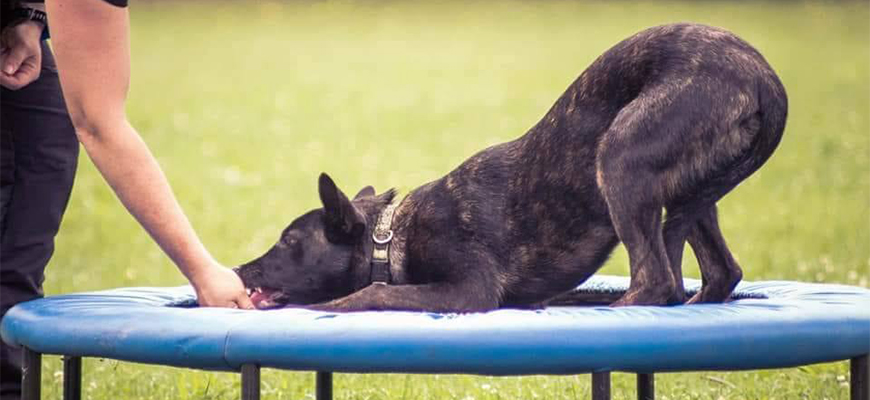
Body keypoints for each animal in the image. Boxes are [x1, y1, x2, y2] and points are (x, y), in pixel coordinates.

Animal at [237, 23, 792, 312]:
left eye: (289, 242)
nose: (240, 270)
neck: (390, 238)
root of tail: (764, 80)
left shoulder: (470, 288)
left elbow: (371, 292)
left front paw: (324, 309)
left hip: (620, 161)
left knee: (656, 281)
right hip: (690, 195)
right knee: (720, 272)